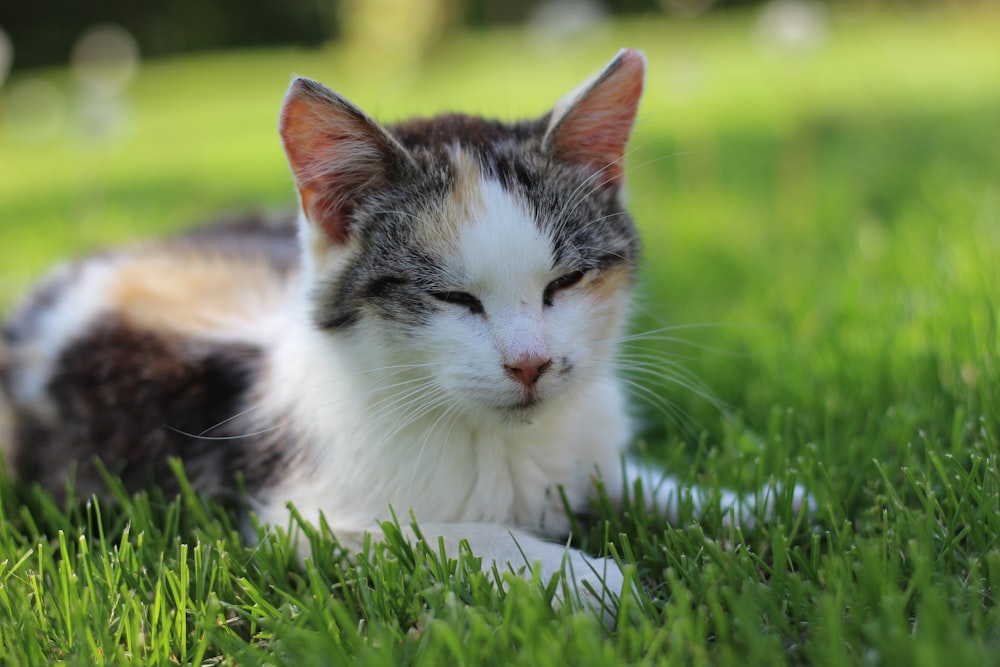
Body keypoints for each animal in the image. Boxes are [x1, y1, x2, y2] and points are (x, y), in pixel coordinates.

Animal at [0, 49, 800, 620]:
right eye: (450, 297)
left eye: (566, 282)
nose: (531, 363)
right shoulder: (299, 518)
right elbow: (445, 534)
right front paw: (587, 578)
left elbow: (620, 474)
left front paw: (753, 505)